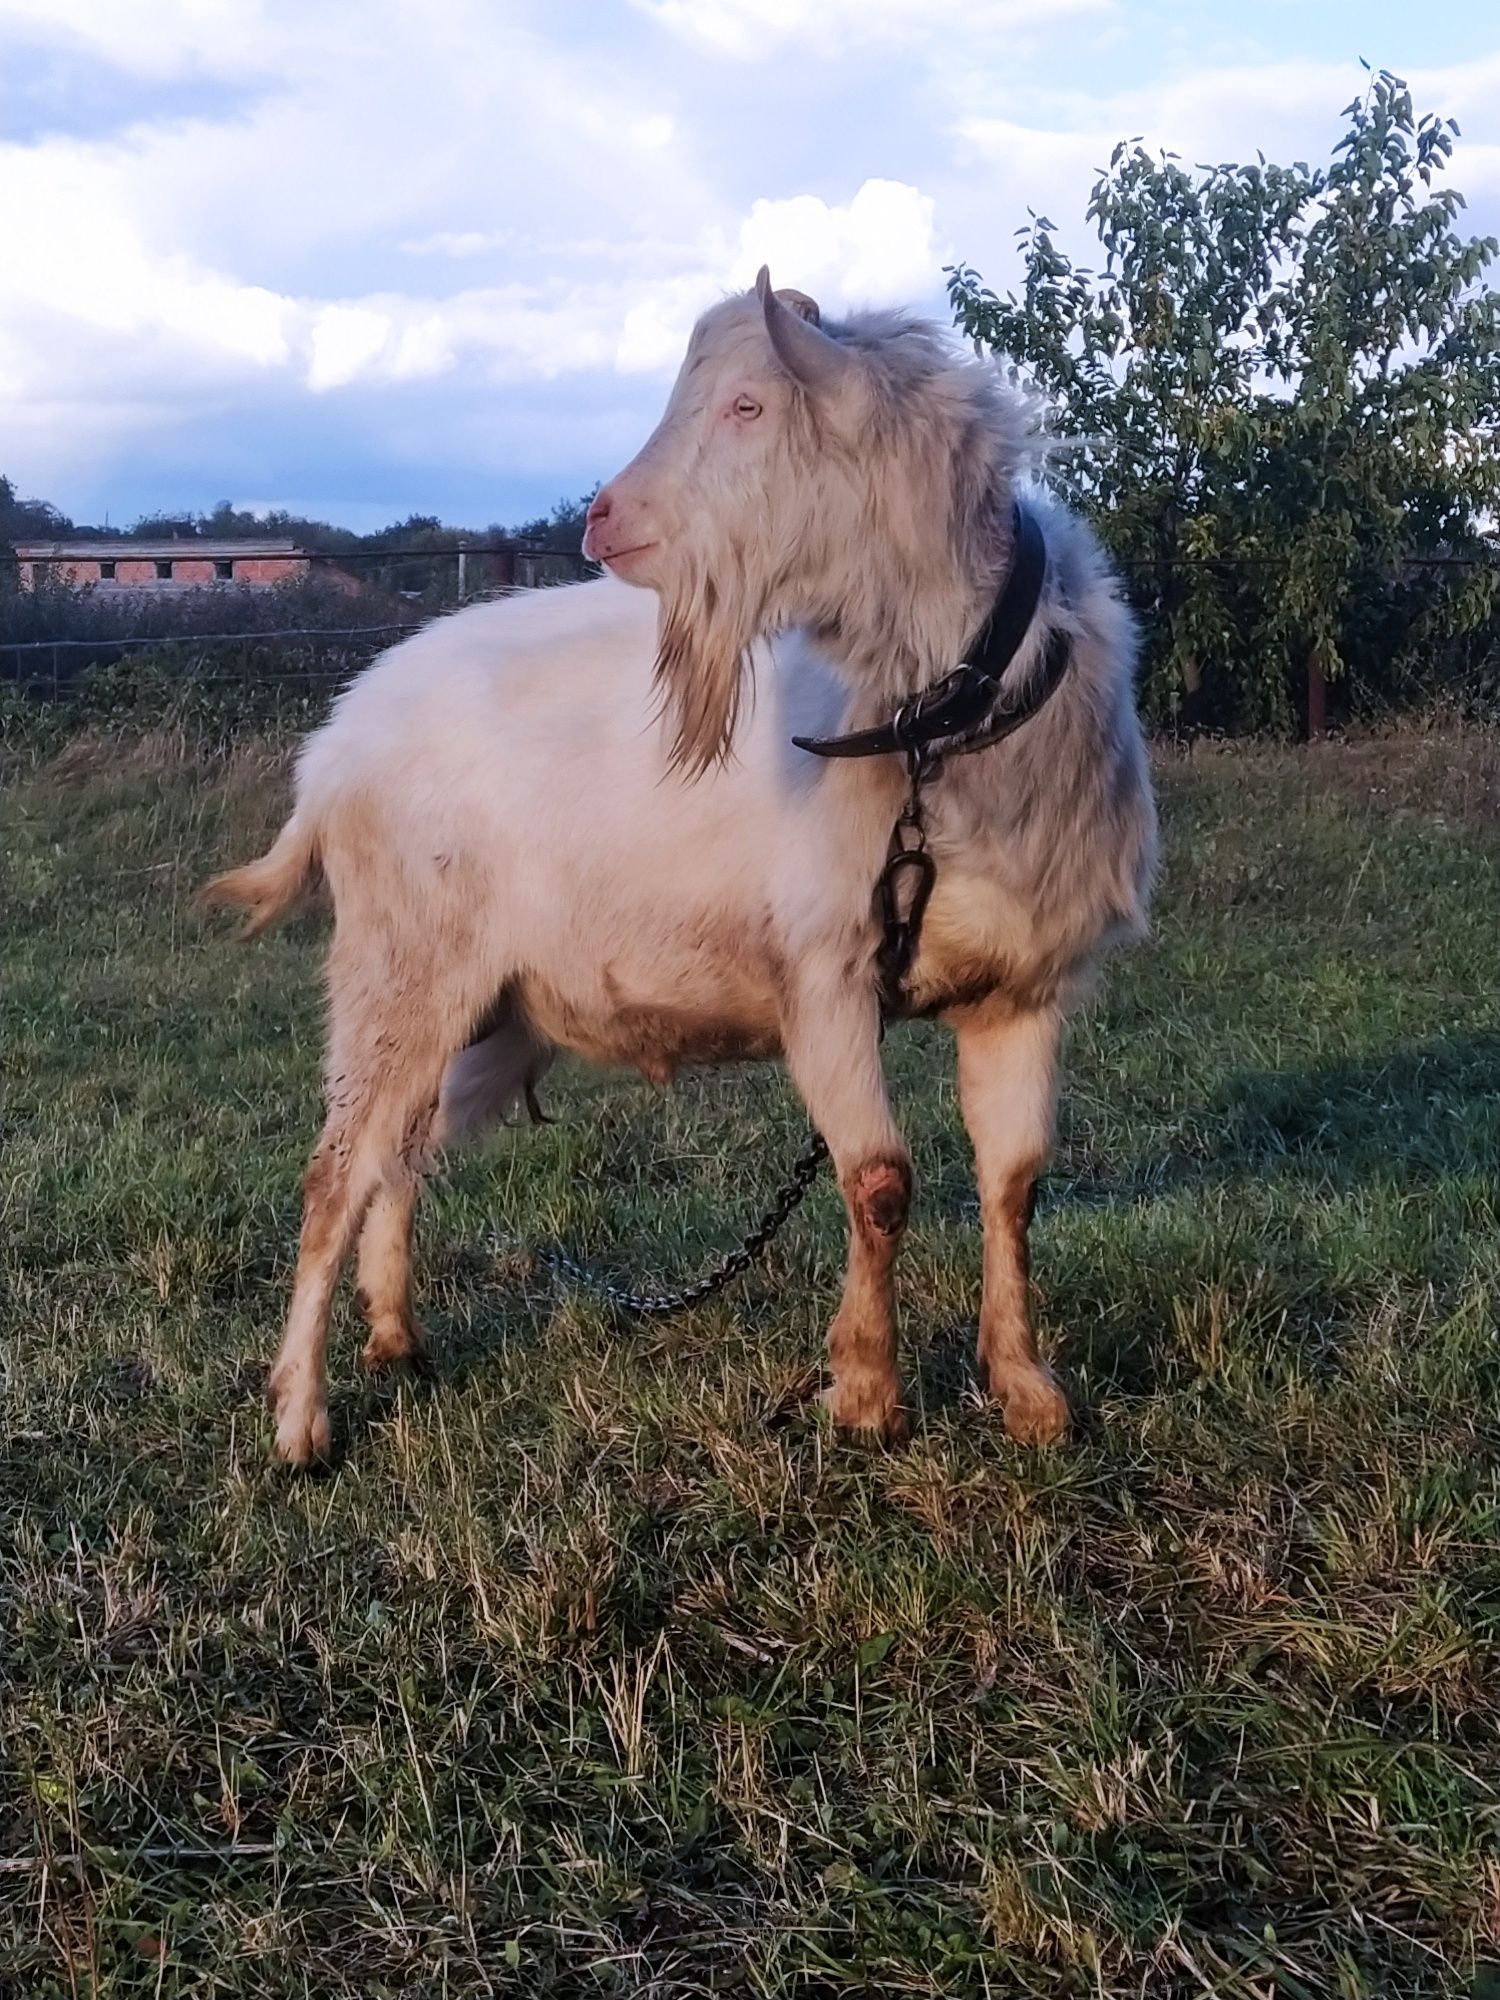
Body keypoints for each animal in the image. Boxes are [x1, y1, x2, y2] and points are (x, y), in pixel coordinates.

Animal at [206, 266, 1160, 1464]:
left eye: (747, 406)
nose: (600, 517)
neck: (938, 733)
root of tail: (334, 746)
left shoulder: (1021, 988)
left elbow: (1016, 1182)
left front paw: (1028, 1391)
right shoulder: (823, 977)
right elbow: (879, 1179)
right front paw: (866, 1392)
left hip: (472, 999)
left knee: (398, 1159)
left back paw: (394, 1339)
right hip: (398, 964)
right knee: (336, 1171)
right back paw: (301, 1418)